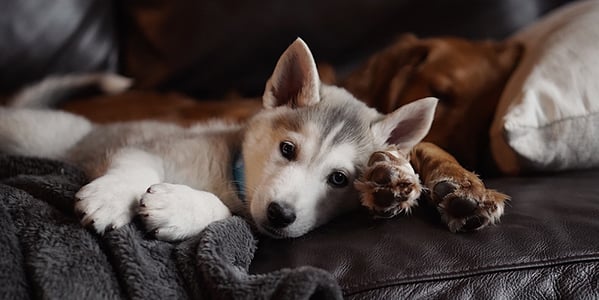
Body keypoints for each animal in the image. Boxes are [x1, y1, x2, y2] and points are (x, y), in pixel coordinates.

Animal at [1, 39, 440, 240]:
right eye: (287, 149)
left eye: (339, 179)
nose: (281, 214)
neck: (231, 174)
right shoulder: (150, 144)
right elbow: (135, 166)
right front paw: (111, 198)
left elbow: (227, 214)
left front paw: (179, 207)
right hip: (35, 134)